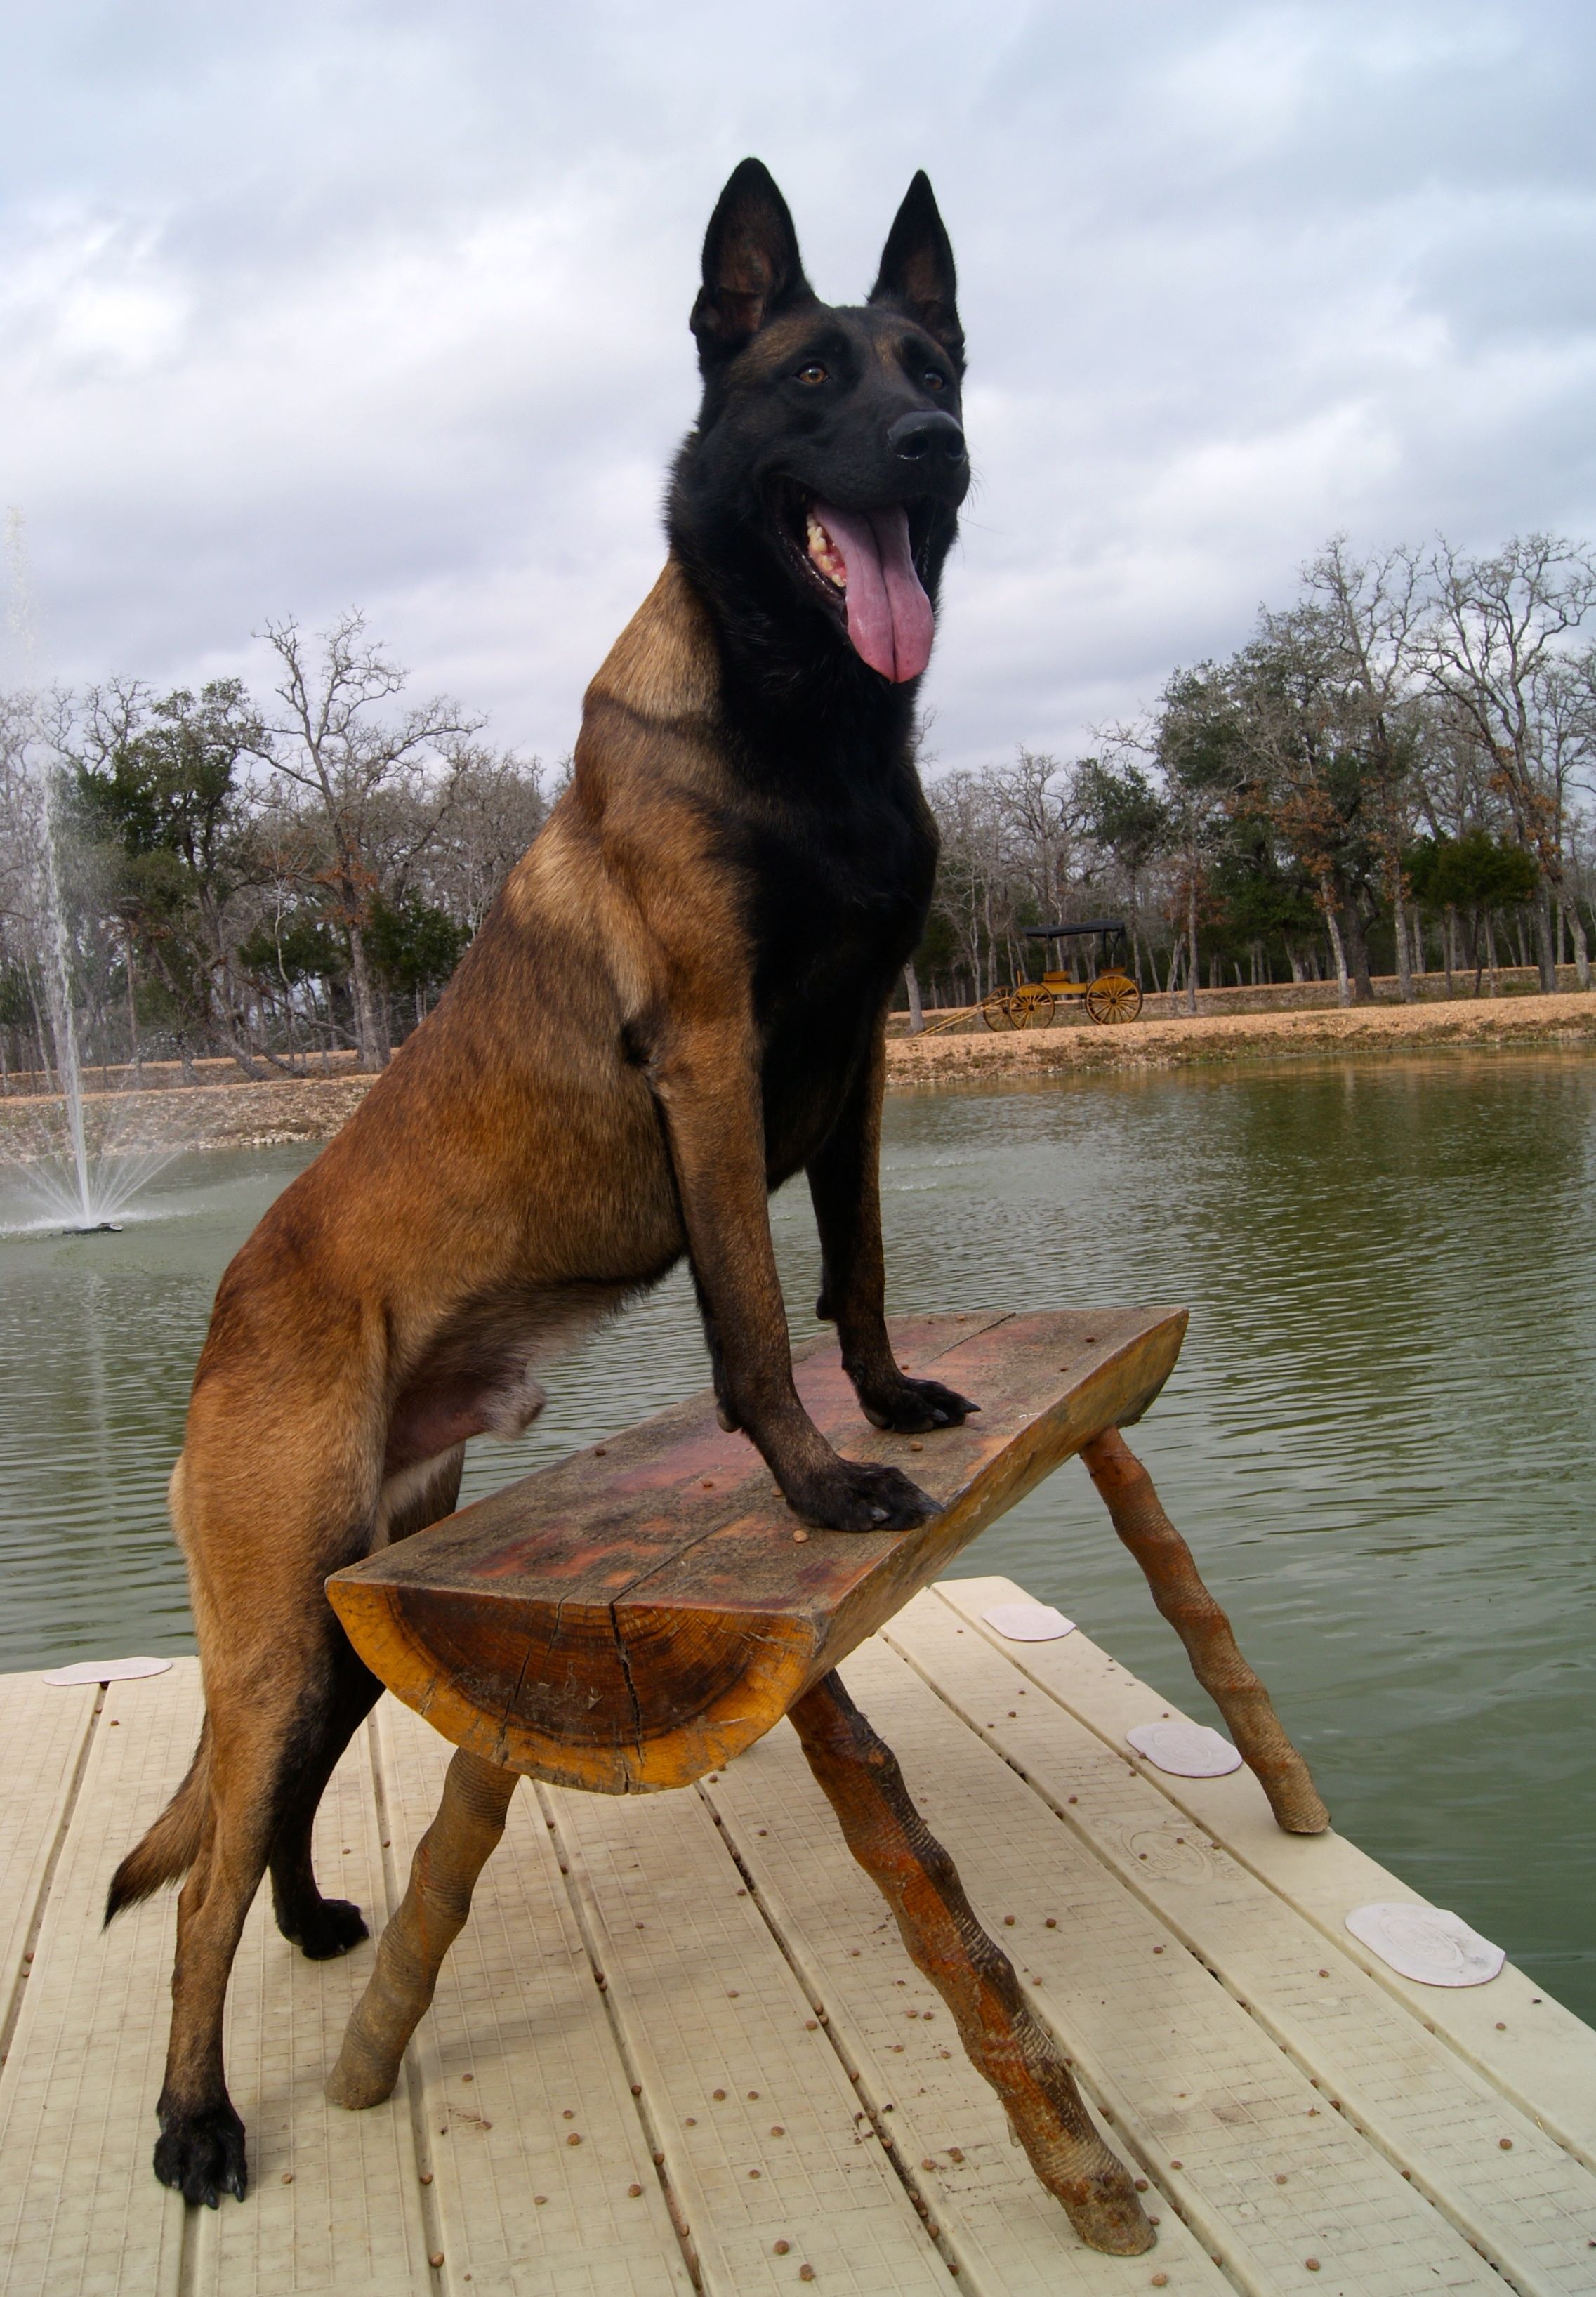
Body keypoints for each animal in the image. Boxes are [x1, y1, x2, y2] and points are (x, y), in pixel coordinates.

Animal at [109, 162, 973, 2205]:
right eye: (811, 376)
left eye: (934, 364)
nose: (933, 449)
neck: (802, 714)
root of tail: (228, 1315)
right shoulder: (718, 1062)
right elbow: (753, 1310)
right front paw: (820, 1479)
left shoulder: (864, 1054)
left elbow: (857, 1264)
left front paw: (890, 1394)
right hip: (270, 1631)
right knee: (194, 1894)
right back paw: (194, 2118)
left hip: (343, 1622)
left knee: (272, 1817)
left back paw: (319, 1924)